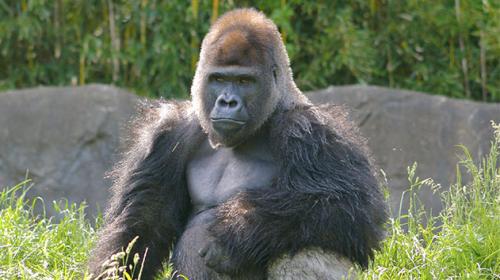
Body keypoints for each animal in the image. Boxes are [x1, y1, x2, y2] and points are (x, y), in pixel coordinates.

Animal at [88, 7, 388, 278]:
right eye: (219, 79)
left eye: (245, 81)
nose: (228, 101)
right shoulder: (167, 133)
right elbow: (142, 224)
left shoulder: (311, 131)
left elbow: (350, 209)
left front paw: (234, 232)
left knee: (309, 242)